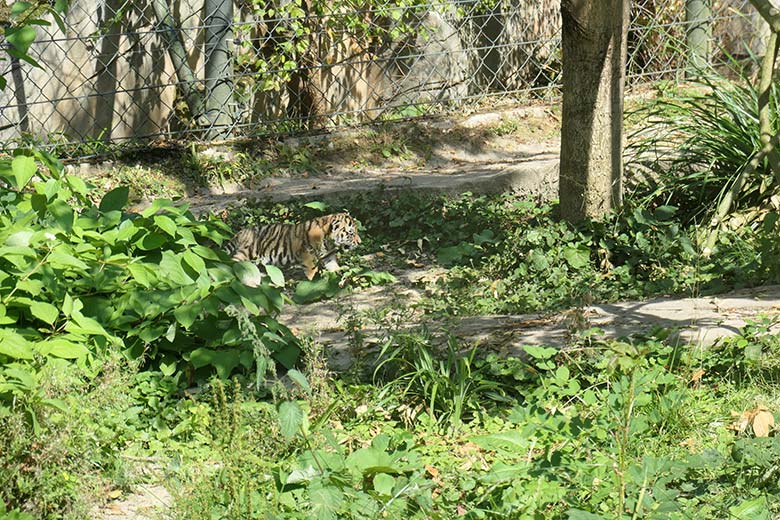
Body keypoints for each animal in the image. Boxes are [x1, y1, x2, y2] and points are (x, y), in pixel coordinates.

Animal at [225, 212, 362, 281]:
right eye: (351, 233)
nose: (360, 242)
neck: (329, 241)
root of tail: (242, 231)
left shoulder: (328, 255)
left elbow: (334, 267)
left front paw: (342, 275)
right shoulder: (307, 253)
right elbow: (312, 269)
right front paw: (313, 280)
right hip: (247, 252)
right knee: (233, 262)